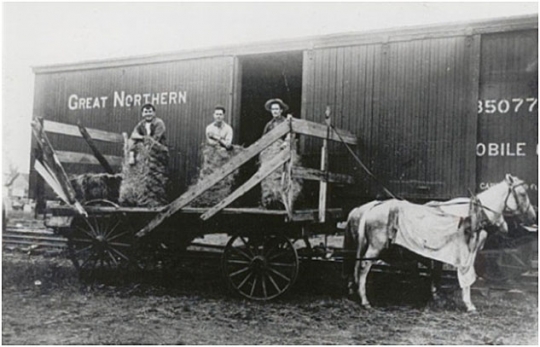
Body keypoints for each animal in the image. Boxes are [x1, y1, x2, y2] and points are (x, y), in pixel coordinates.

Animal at [344, 174, 536, 312]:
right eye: (522, 194)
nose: (534, 217)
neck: (473, 214)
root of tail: (372, 207)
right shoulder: (466, 255)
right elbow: (465, 279)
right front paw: (469, 304)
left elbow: (437, 273)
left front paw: (437, 296)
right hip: (375, 247)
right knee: (363, 267)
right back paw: (364, 300)